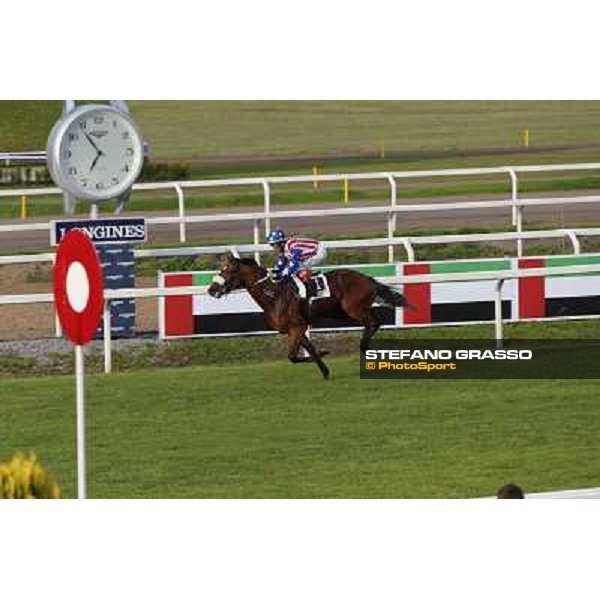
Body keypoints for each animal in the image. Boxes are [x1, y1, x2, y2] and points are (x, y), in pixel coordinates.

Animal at [207, 254, 412, 380]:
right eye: (221, 269)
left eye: (228, 271)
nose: (212, 290)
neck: (274, 295)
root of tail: (366, 278)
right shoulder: (295, 330)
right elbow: (308, 351)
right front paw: (325, 369)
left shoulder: (297, 327)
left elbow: (292, 356)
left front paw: (324, 354)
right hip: (343, 311)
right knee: (374, 321)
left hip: (352, 308)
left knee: (373, 322)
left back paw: (364, 347)